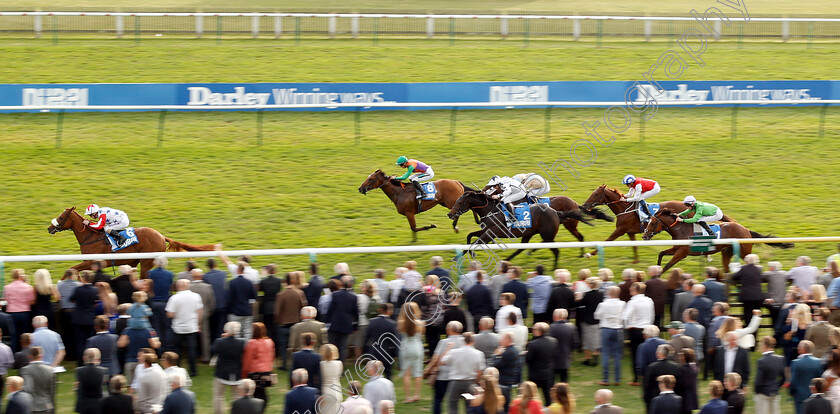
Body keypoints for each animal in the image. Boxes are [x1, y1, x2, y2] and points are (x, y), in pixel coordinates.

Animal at [47, 206, 215, 278]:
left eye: (61, 217)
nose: (50, 228)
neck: (90, 237)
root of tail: (161, 236)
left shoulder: (93, 261)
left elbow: (71, 269)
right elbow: (75, 271)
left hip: (146, 262)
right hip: (136, 261)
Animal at [580, 185, 732, 262]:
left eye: (595, 194)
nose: (583, 206)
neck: (625, 209)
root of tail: (689, 206)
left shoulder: (620, 230)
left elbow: (608, 240)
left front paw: (589, 254)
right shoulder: (629, 232)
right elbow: (634, 246)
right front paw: (636, 262)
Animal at [644, 209, 796, 274]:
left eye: (652, 223)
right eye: (648, 222)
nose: (644, 236)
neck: (681, 229)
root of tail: (746, 230)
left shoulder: (682, 252)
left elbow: (668, 265)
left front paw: (658, 275)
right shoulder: (676, 248)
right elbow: (661, 254)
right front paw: (656, 268)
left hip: (744, 252)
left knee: (752, 261)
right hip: (727, 251)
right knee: (727, 268)